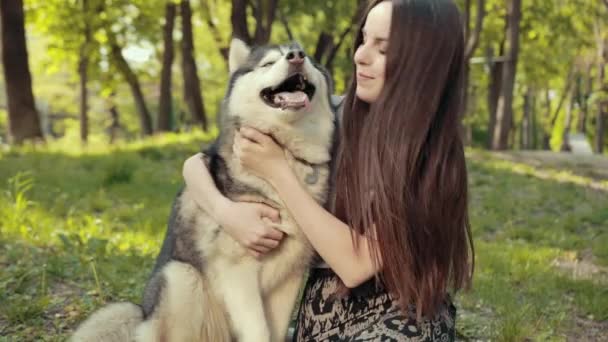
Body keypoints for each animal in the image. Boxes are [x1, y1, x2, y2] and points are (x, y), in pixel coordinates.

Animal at [72, 38, 338, 340]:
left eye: (310, 60)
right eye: (268, 63)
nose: (296, 56)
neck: (285, 156)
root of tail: (142, 313)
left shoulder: (289, 278)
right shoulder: (238, 274)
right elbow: (258, 331)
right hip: (181, 277)